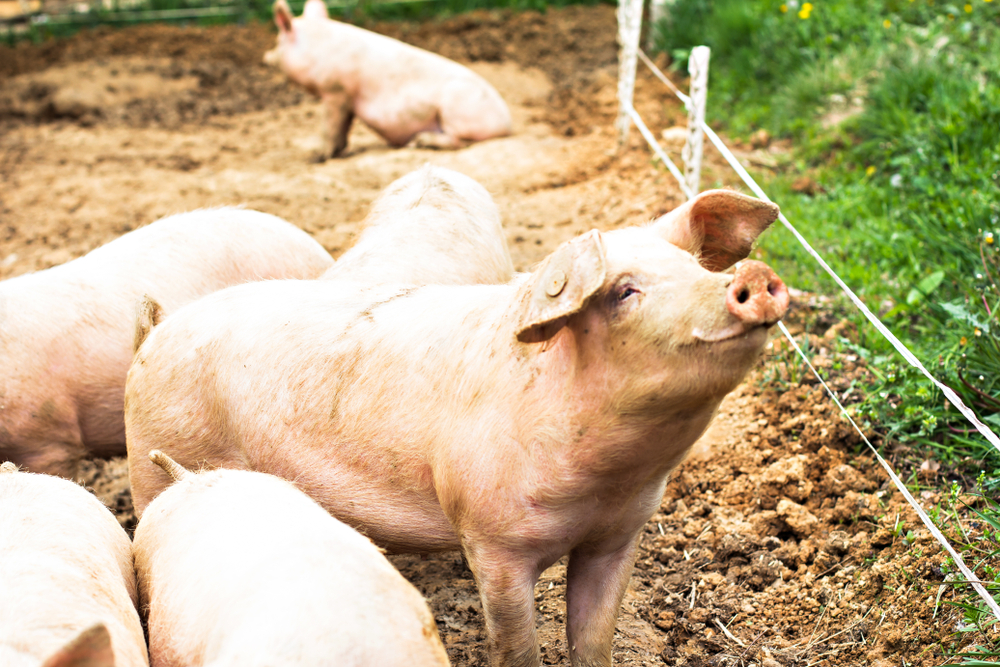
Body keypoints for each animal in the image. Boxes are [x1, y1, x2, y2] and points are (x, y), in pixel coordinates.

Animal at [266, 0, 513, 158]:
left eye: (278, 42)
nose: (265, 56)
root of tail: (507, 124)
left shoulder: (335, 90)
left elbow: (330, 126)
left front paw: (317, 156)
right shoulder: (348, 98)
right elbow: (343, 127)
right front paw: (339, 151)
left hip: (456, 112)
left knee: (460, 141)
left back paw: (418, 143)